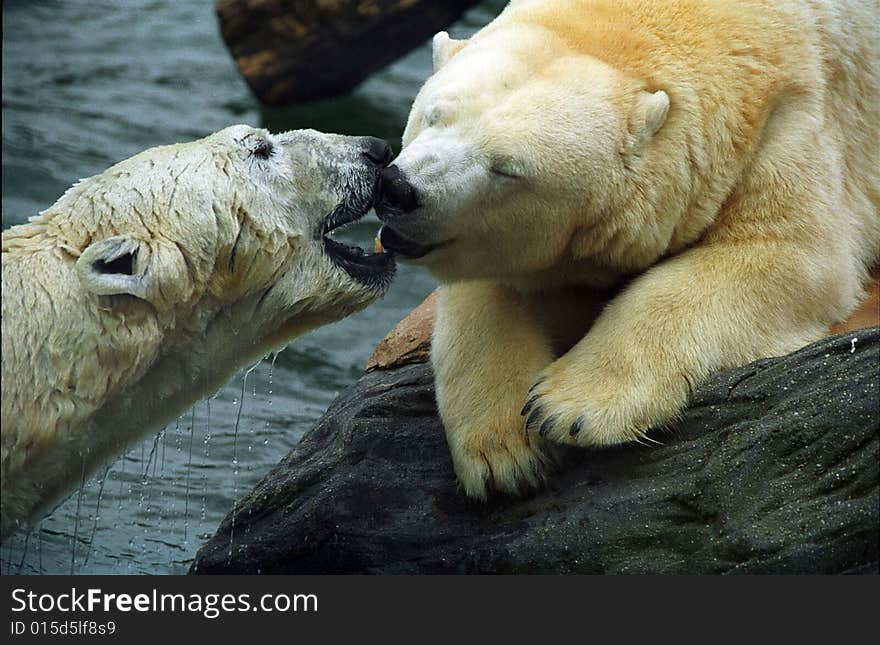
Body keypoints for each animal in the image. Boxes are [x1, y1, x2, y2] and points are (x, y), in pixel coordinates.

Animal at [376, 0, 880, 498]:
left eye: (506, 169)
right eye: (434, 115)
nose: (400, 189)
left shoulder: (800, 113)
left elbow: (784, 253)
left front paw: (569, 406)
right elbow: (493, 288)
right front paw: (502, 451)